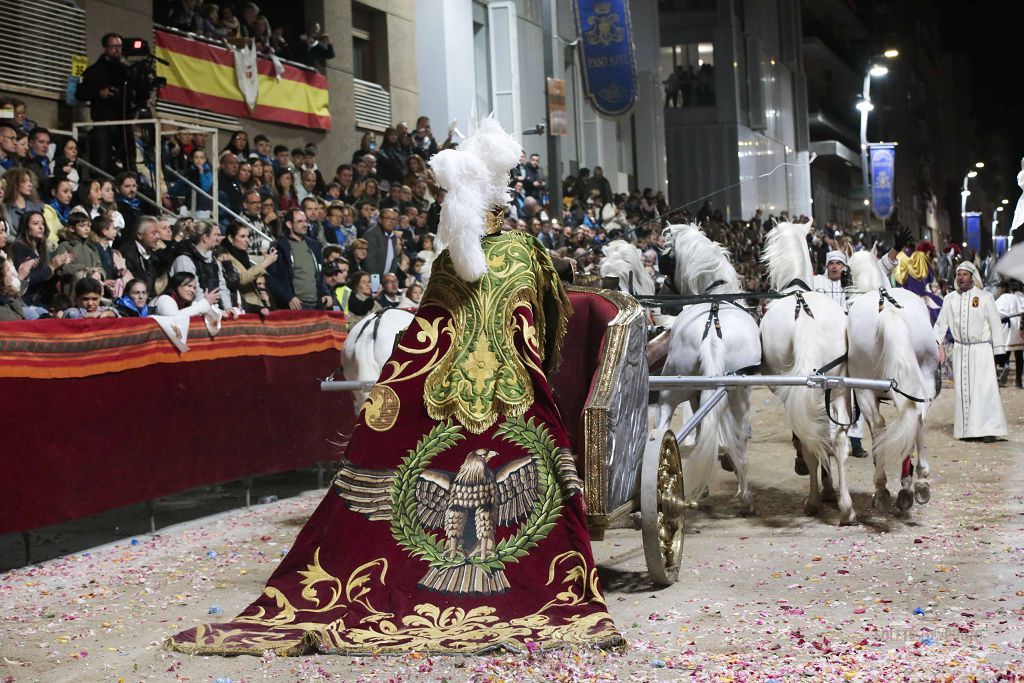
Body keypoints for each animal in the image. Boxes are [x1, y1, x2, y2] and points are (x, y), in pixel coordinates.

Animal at [655, 224, 761, 511]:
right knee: (740, 436)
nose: (660, 298)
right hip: (739, 394)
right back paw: (745, 496)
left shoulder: (695, 395)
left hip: (672, 391)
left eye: (668, 265)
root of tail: (712, 332)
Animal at [761, 222, 856, 528]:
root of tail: (803, 313)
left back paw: (813, 500)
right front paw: (830, 489)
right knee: (838, 441)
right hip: (838, 388)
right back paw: (847, 509)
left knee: (807, 442)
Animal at [843, 250, 937, 511]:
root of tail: (887, 310)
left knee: (879, 425)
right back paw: (919, 483)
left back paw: (882, 487)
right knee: (918, 417)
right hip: (923, 380)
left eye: (845, 273)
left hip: (864, 389)